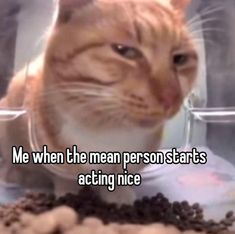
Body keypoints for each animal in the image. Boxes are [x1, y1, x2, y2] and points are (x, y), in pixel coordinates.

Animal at [0, 0, 198, 205]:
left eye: (180, 59)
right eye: (125, 51)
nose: (171, 97)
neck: (105, 131)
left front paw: (118, 195)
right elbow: (64, 178)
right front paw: (70, 194)